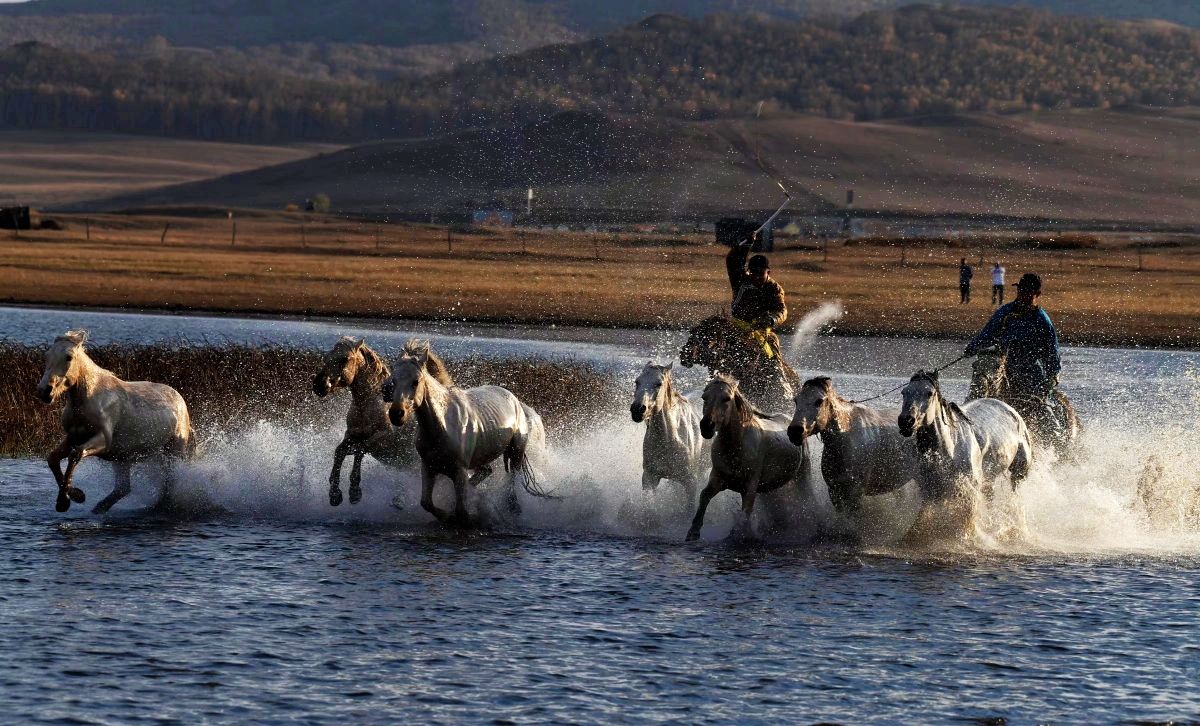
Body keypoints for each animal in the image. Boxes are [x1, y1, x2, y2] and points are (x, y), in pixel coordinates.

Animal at [312, 336, 420, 506]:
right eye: (327, 357)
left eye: (344, 359)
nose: (319, 384)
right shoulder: (351, 435)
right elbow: (340, 451)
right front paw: (335, 493)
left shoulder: (382, 437)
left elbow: (361, 449)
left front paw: (354, 491)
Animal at [384, 336, 552, 523]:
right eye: (394, 380)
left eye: (416, 381)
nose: (396, 414)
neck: (442, 427)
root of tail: (516, 400)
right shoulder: (428, 467)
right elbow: (426, 503)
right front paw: (447, 515)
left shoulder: (459, 471)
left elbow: (461, 512)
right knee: (487, 471)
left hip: (516, 451)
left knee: (512, 478)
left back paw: (512, 507)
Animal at [686, 374, 806, 537]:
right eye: (704, 397)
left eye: (727, 398)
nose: (706, 426)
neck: (736, 448)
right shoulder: (718, 477)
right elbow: (704, 496)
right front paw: (693, 531)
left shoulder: (750, 486)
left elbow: (745, 513)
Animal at [902, 367, 1032, 532]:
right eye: (904, 392)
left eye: (929, 393)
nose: (905, 421)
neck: (950, 450)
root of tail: (1010, 410)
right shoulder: (932, 493)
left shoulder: (969, 491)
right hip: (990, 480)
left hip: (1018, 473)